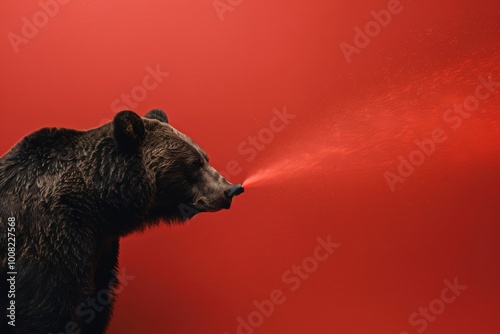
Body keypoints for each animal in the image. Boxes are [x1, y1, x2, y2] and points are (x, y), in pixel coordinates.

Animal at [0, 110, 243, 334]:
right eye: (195, 163)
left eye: (205, 157)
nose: (230, 189)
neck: (96, 205)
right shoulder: (50, 238)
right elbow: (46, 310)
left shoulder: (100, 249)